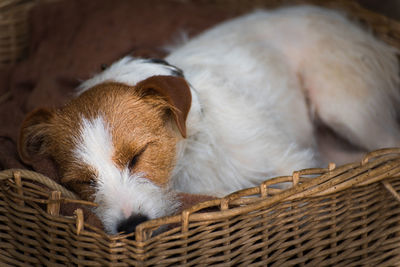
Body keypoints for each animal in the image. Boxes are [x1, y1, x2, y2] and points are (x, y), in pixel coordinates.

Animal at [17, 4, 400, 234]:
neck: (189, 162)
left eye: (137, 156)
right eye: (83, 181)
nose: (130, 225)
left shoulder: (290, 164)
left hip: (344, 108)